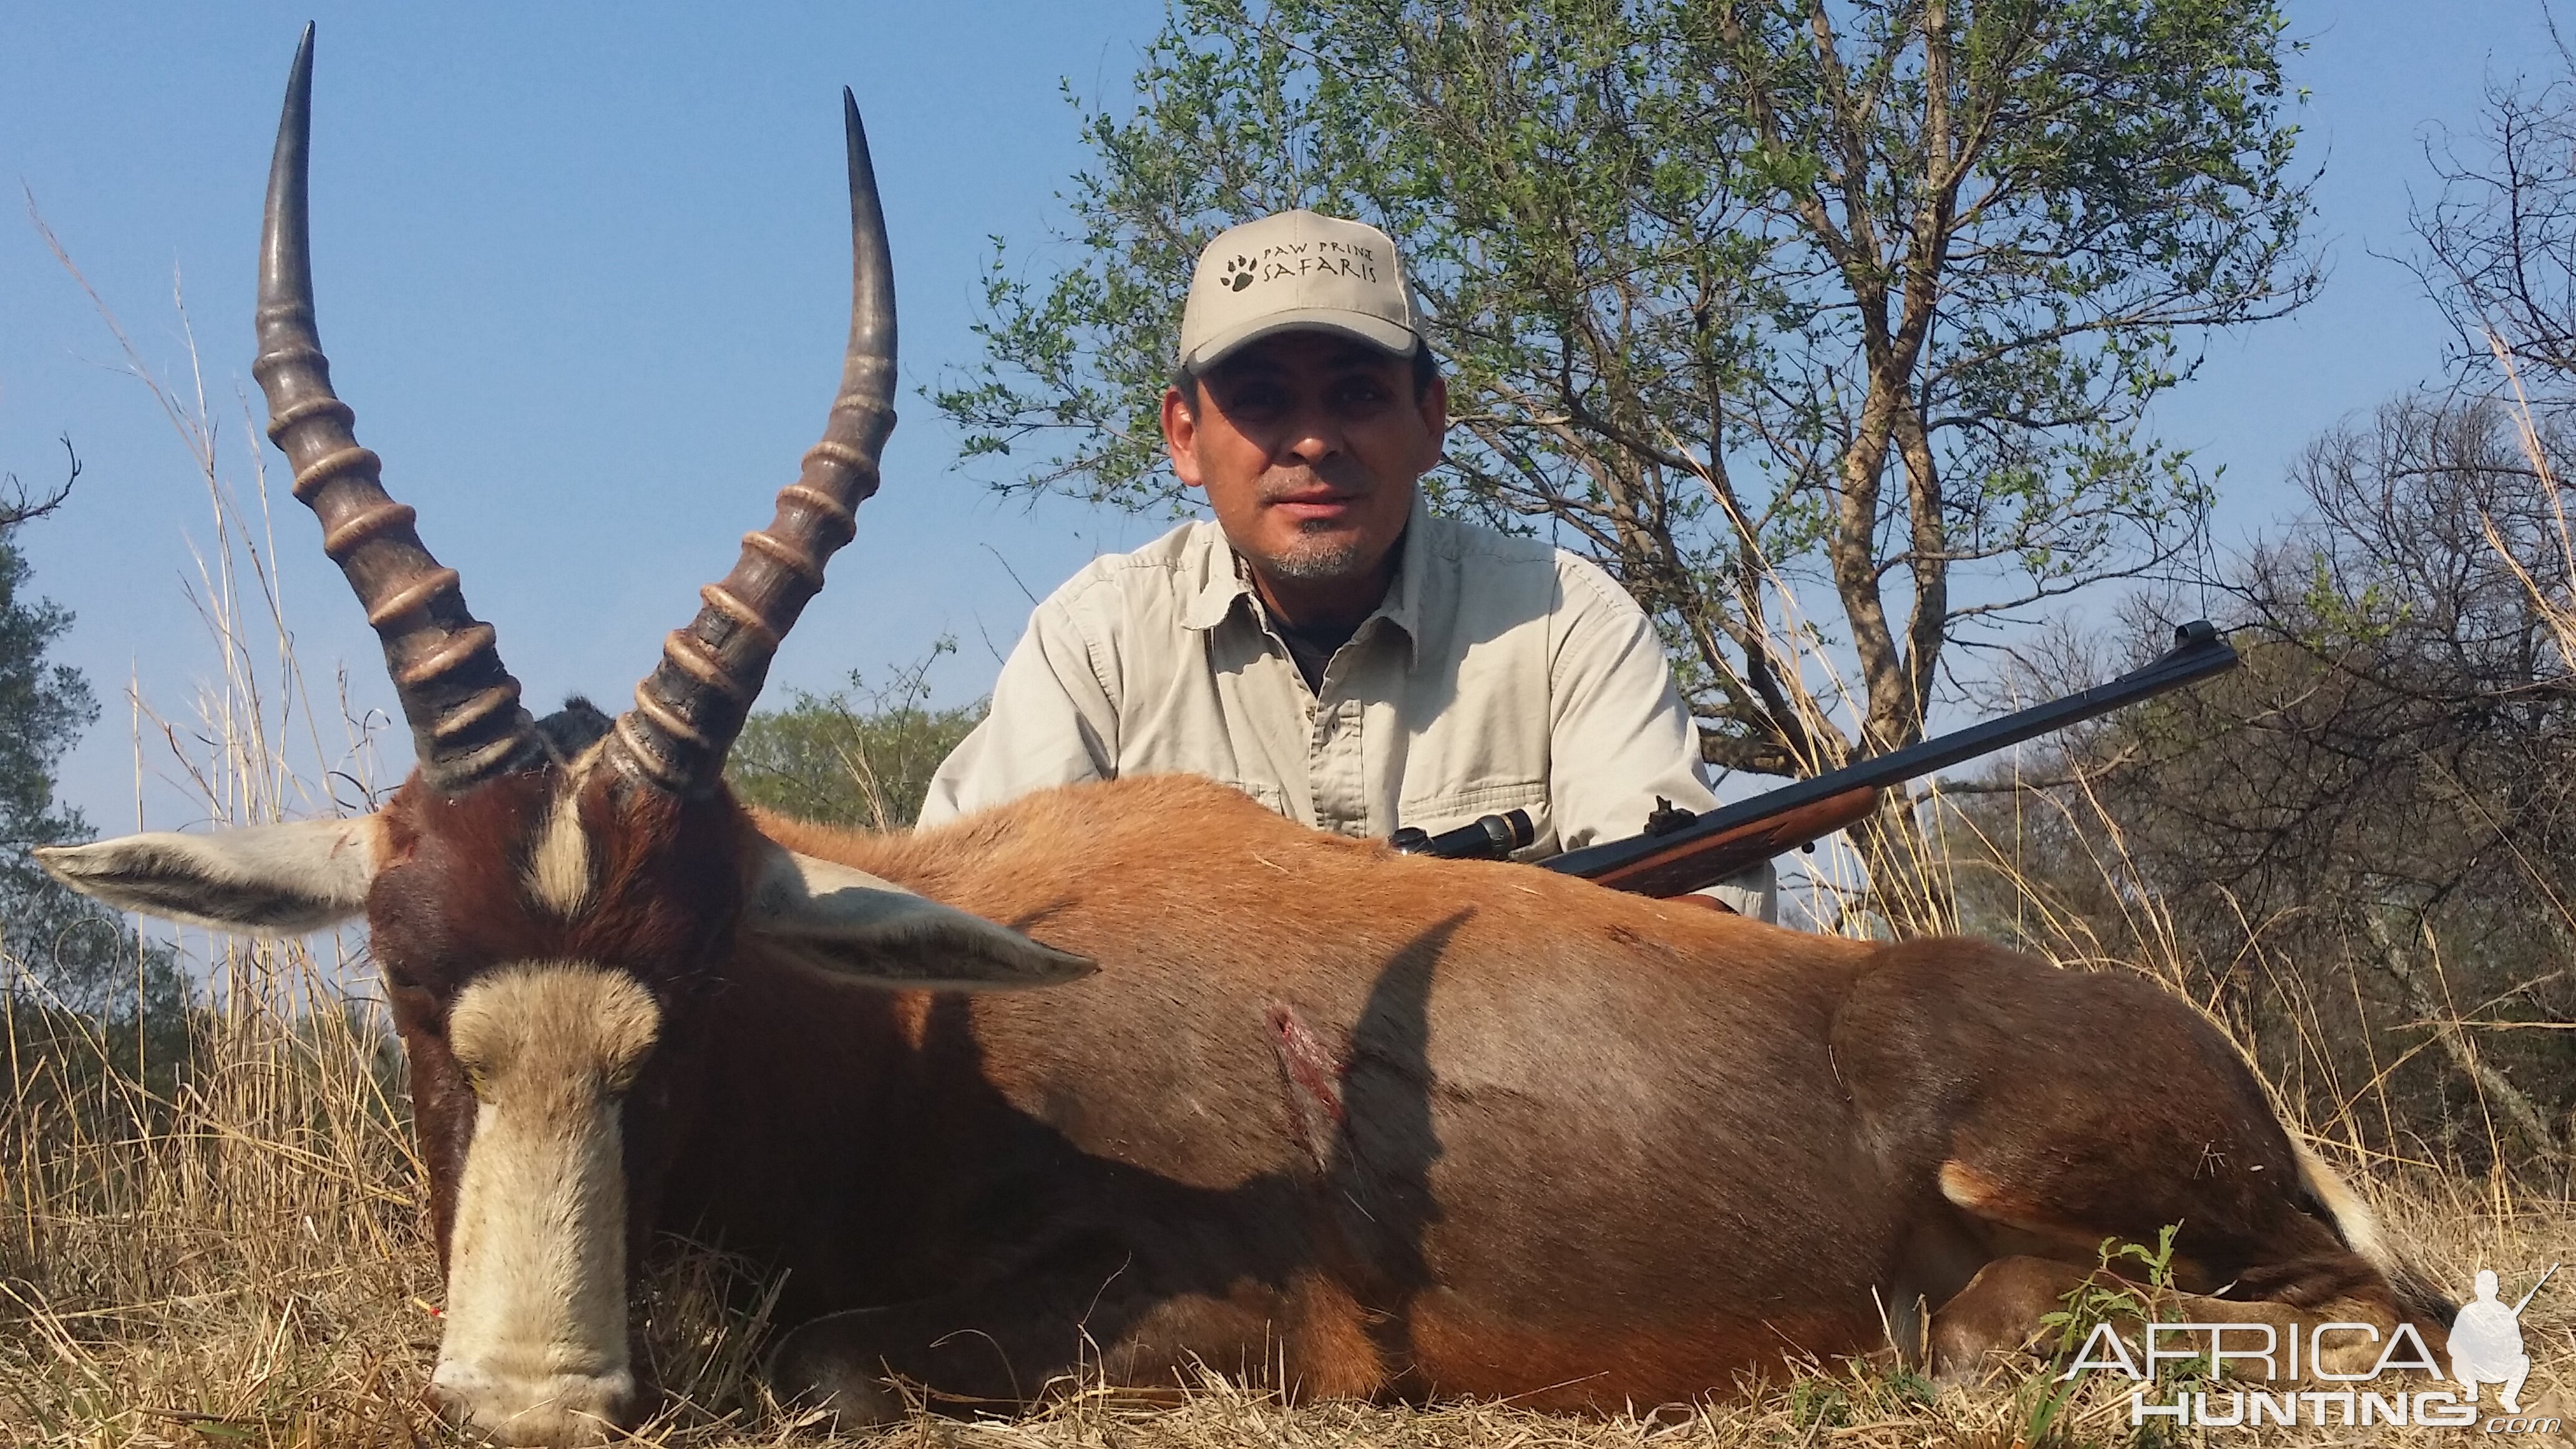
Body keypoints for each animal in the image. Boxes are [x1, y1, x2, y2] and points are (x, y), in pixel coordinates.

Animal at [40, 31, 2452, 1443]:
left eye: (700, 982)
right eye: (404, 984)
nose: (537, 1400)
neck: (918, 1025)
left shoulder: (1190, 1336)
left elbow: (836, 1362)